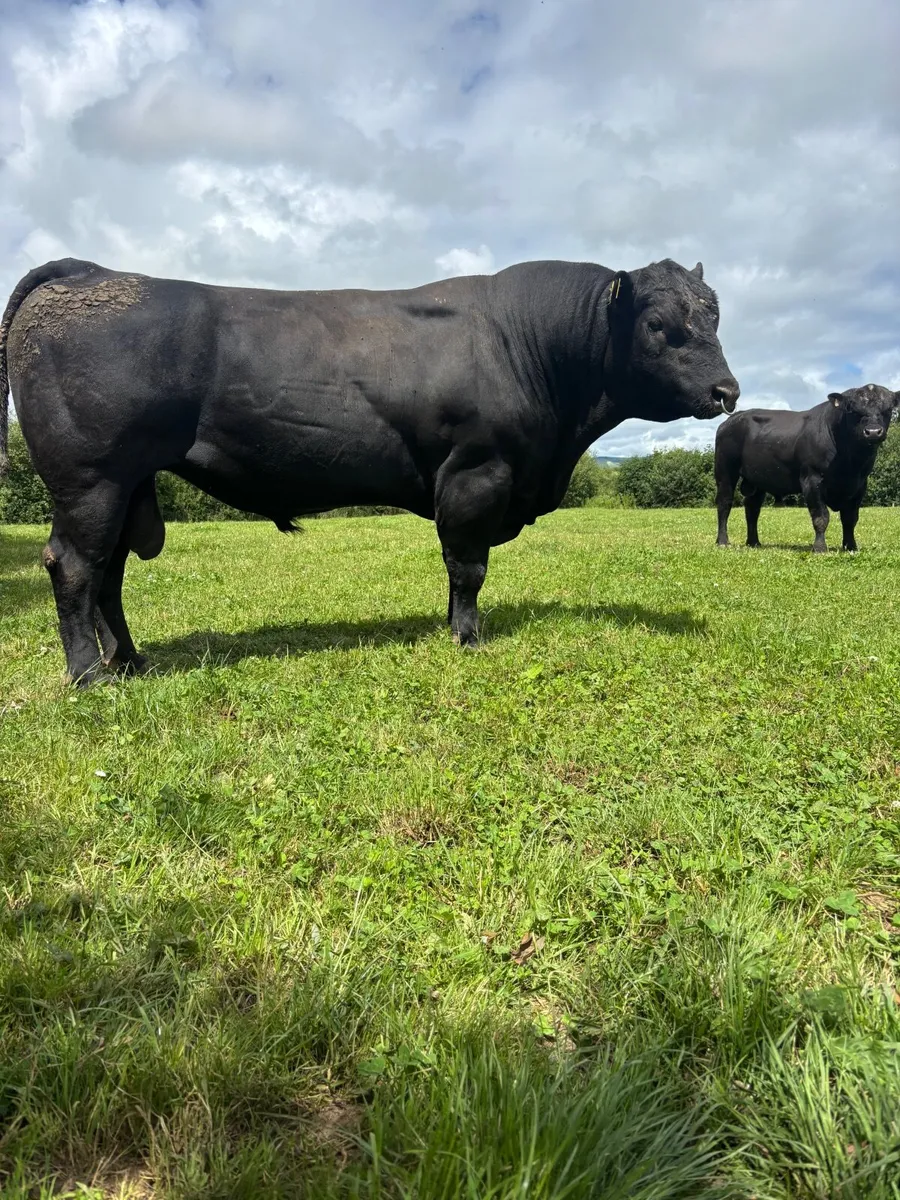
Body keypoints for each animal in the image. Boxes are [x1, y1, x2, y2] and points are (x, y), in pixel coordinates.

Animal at [0, 255, 739, 685]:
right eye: (656, 324)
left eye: (714, 314)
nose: (726, 391)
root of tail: (92, 273)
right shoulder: (477, 472)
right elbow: (469, 565)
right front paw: (468, 639)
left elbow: (454, 569)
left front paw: (451, 627)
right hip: (91, 479)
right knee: (74, 566)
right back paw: (90, 677)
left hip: (126, 487)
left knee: (109, 575)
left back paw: (130, 662)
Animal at [714, 384, 899, 553]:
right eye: (852, 410)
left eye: (888, 409)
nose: (873, 432)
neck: (850, 464)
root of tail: (733, 418)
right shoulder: (811, 479)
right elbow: (821, 516)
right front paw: (820, 548)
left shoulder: (859, 485)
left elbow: (850, 518)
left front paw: (850, 546)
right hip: (725, 471)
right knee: (724, 503)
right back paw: (723, 541)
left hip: (757, 480)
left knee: (752, 509)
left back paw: (753, 542)